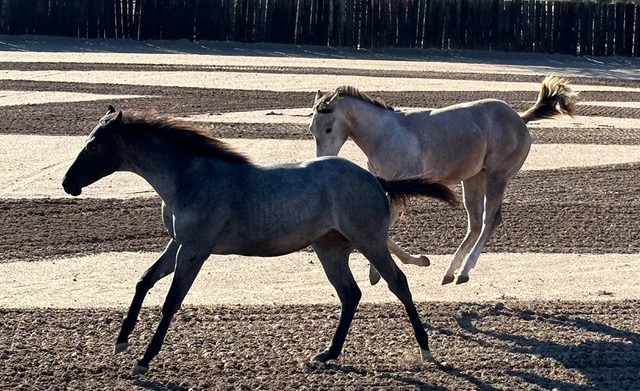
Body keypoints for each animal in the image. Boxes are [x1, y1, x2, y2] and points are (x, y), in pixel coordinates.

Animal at [62, 106, 458, 376]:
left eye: (94, 146)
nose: (68, 183)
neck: (189, 178)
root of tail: (376, 180)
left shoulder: (195, 250)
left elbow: (171, 301)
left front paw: (144, 359)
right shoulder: (178, 244)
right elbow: (144, 280)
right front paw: (121, 341)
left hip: (369, 240)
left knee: (398, 283)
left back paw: (426, 351)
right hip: (330, 248)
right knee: (351, 294)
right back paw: (328, 354)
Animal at [312, 75, 580, 286]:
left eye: (328, 129)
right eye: (311, 130)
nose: (321, 160)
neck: (384, 134)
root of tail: (520, 119)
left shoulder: (400, 190)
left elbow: (383, 228)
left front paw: (408, 264)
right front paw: (383, 271)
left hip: (497, 177)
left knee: (489, 220)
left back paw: (464, 271)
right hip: (473, 179)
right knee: (474, 223)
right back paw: (450, 272)